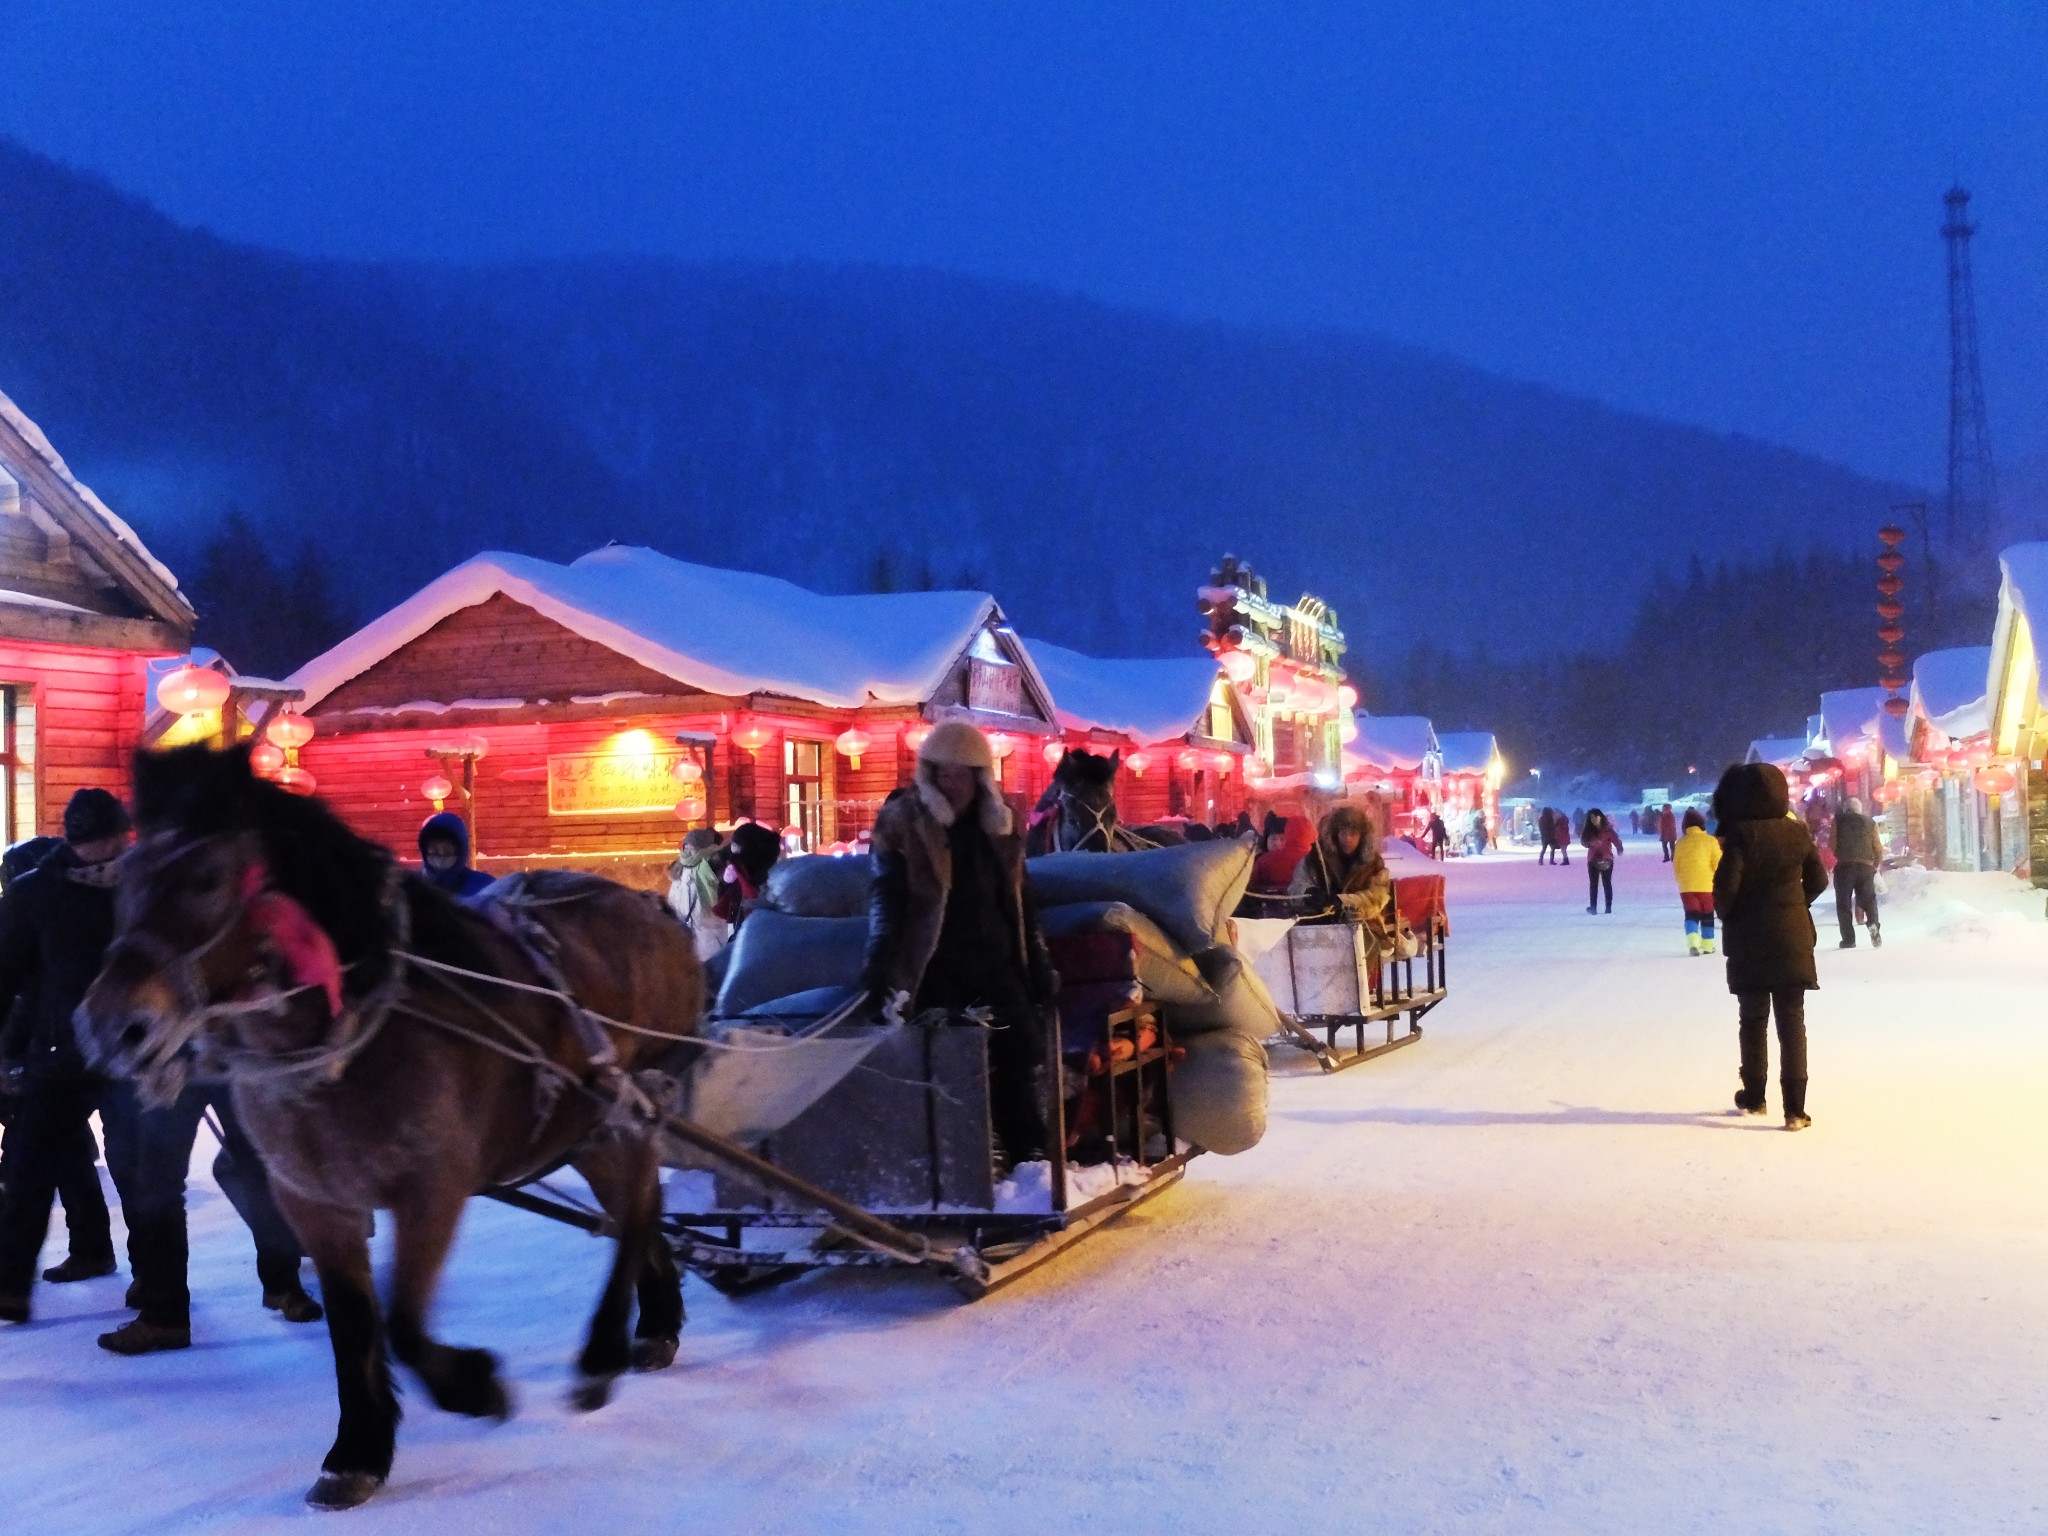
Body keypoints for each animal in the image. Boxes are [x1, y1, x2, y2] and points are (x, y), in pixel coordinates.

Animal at [75, 749, 704, 1515]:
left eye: (207, 878)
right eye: (127, 876)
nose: (110, 1024)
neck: (350, 1043)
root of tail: (653, 909)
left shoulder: (432, 1189)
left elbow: (402, 1323)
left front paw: (474, 1387)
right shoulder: (314, 1202)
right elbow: (354, 1326)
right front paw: (358, 1453)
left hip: (624, 1107)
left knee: (637, 1203)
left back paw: (604, 1352)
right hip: (586, 1128)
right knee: (639, 1206)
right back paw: (655, 1320)